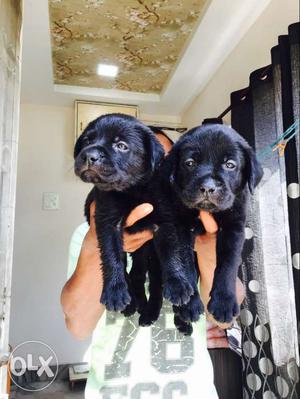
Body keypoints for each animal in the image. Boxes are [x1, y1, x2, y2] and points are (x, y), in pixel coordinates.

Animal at [74, 112, 196, 328]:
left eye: (121, 145)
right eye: (87, 141)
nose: (89, 156)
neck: (134, 189)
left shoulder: (164, 221)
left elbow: (172, 254)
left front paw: (178, 284)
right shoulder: (107, 222)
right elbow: (111, 257)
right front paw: (114, 291)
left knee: (147, 278)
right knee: (131, 272)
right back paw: (131, 301)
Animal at [159, 124, 262, 324]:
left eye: (230, 165)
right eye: (190, 163)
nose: (207, 187)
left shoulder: (234, 227)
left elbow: (227, 264)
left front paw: (224, 303)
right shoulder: (181, 227)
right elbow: (186, 263)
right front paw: (189, 305)